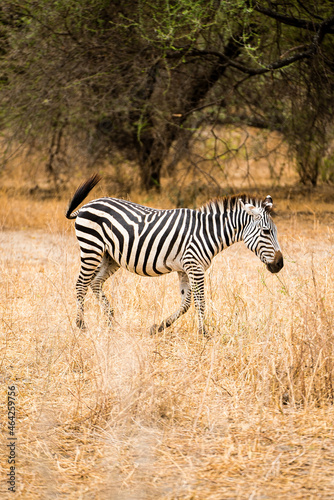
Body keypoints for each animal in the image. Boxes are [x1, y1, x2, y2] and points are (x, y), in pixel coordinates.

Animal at [66, 175, 284, 336]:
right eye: (266, 231)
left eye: (274, 231)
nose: (280, 264)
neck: (208, 232)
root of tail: (85, 207)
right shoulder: (194, 266)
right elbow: (200, 300)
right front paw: (204, 333)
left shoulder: (184, 269)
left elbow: (186, 303)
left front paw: (159, 327)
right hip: (91, 248)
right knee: (81, 284)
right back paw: (81, 325)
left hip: (109, 257)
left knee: (95, 282)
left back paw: (112, 322)